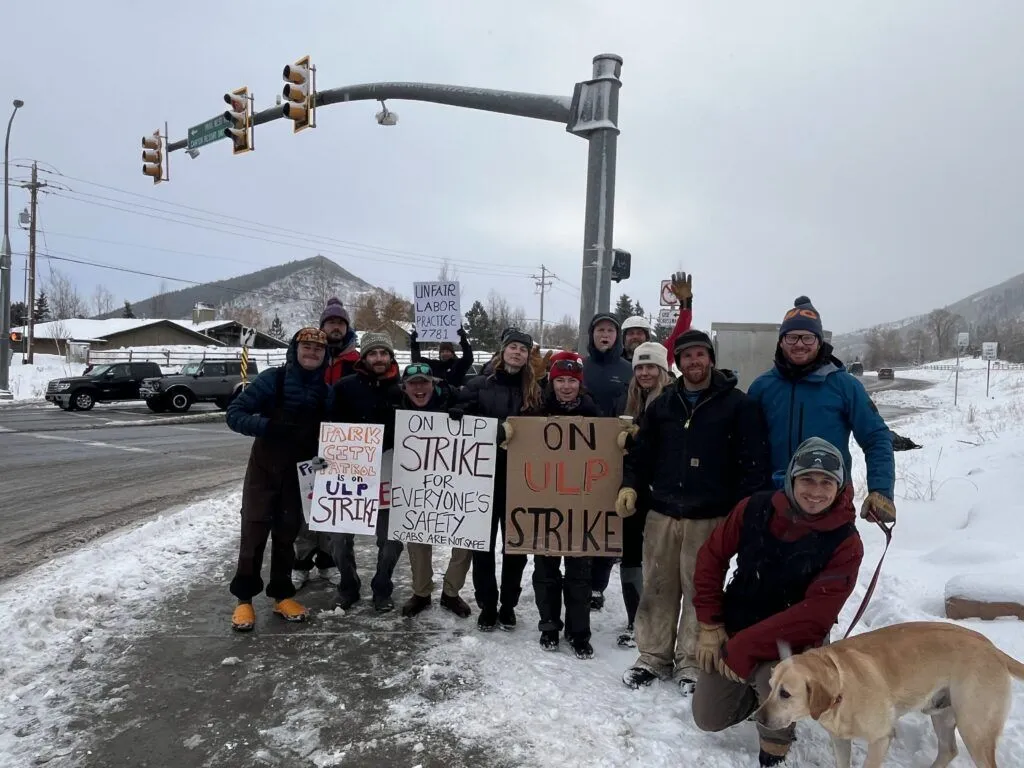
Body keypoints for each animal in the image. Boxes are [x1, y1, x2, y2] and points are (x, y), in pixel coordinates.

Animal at [753, 626, 1024, 768]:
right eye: (770, 687)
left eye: (785, 694)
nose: (758, 718)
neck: (841, 688)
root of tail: (994, 649)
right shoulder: (839, 740)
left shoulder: (881, 739)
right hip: (942, 714)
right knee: (948, 749)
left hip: (975, 730)